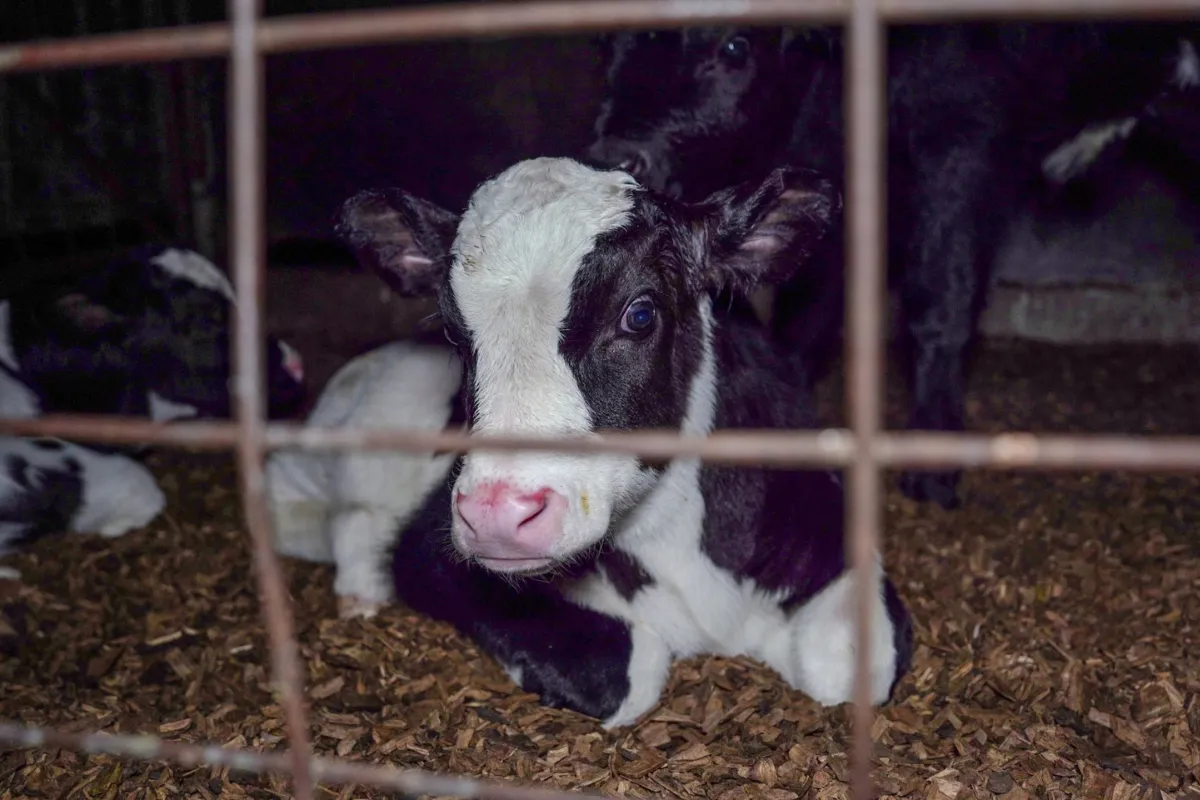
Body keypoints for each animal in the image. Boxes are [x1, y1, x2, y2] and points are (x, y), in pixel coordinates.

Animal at [331, 157, 913, 728]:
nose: (498, 514)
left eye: (639, 314)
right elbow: (626, 669)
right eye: (455, 333)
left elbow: (849, 664)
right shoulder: (429, 553)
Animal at [585, 21, 1200, 510]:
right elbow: (810, 311)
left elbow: (940, 305)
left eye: (736, 45)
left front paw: (933, 463)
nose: (620, 153)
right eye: (614, 41)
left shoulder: (958, 140)